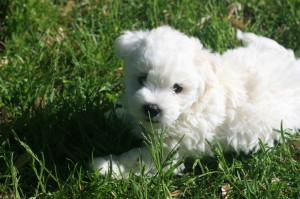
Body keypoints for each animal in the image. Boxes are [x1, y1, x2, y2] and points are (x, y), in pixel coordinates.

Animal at [92, 26, 300, 177]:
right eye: (142, 78)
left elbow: (135, 159)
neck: (190, 106)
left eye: (177, 88)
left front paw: (106, 167)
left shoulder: (168, 152)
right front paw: (117, 115)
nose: (152, 108)